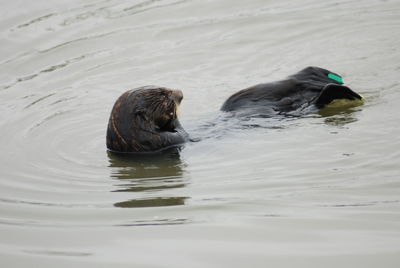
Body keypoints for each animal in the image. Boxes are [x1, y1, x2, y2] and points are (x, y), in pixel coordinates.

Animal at [106, 66, 362, 153]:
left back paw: (321, 73)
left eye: (164, 87)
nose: (179, 92)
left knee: (297, 81)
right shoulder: (163, 142)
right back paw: (344, 91)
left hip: (241, 97)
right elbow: (179, 132)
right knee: (315, 100)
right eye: (162, 94)